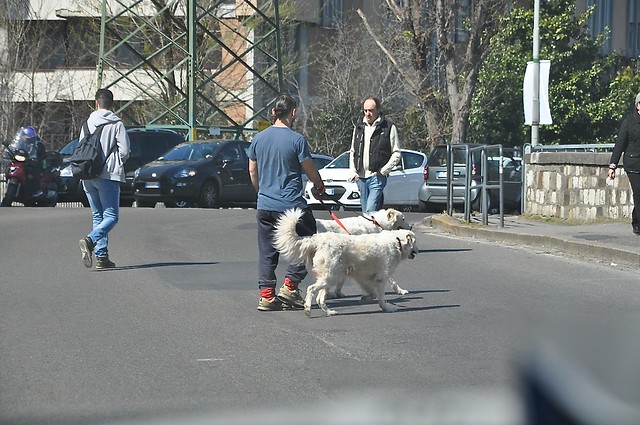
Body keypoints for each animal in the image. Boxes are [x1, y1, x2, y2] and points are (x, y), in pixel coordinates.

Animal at [272, 207, 418, 316]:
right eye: (403, 219)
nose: (411, 225)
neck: (396, 242)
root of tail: (318, 239)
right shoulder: (382, 277)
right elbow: (383, 293)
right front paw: (389, 305)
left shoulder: (362, 277)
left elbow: (372, 293)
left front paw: (363, 298)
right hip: (331, 276)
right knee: (311, 289)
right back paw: (308, 308)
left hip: (331, 276)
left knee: (320, 297)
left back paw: (329, 311)